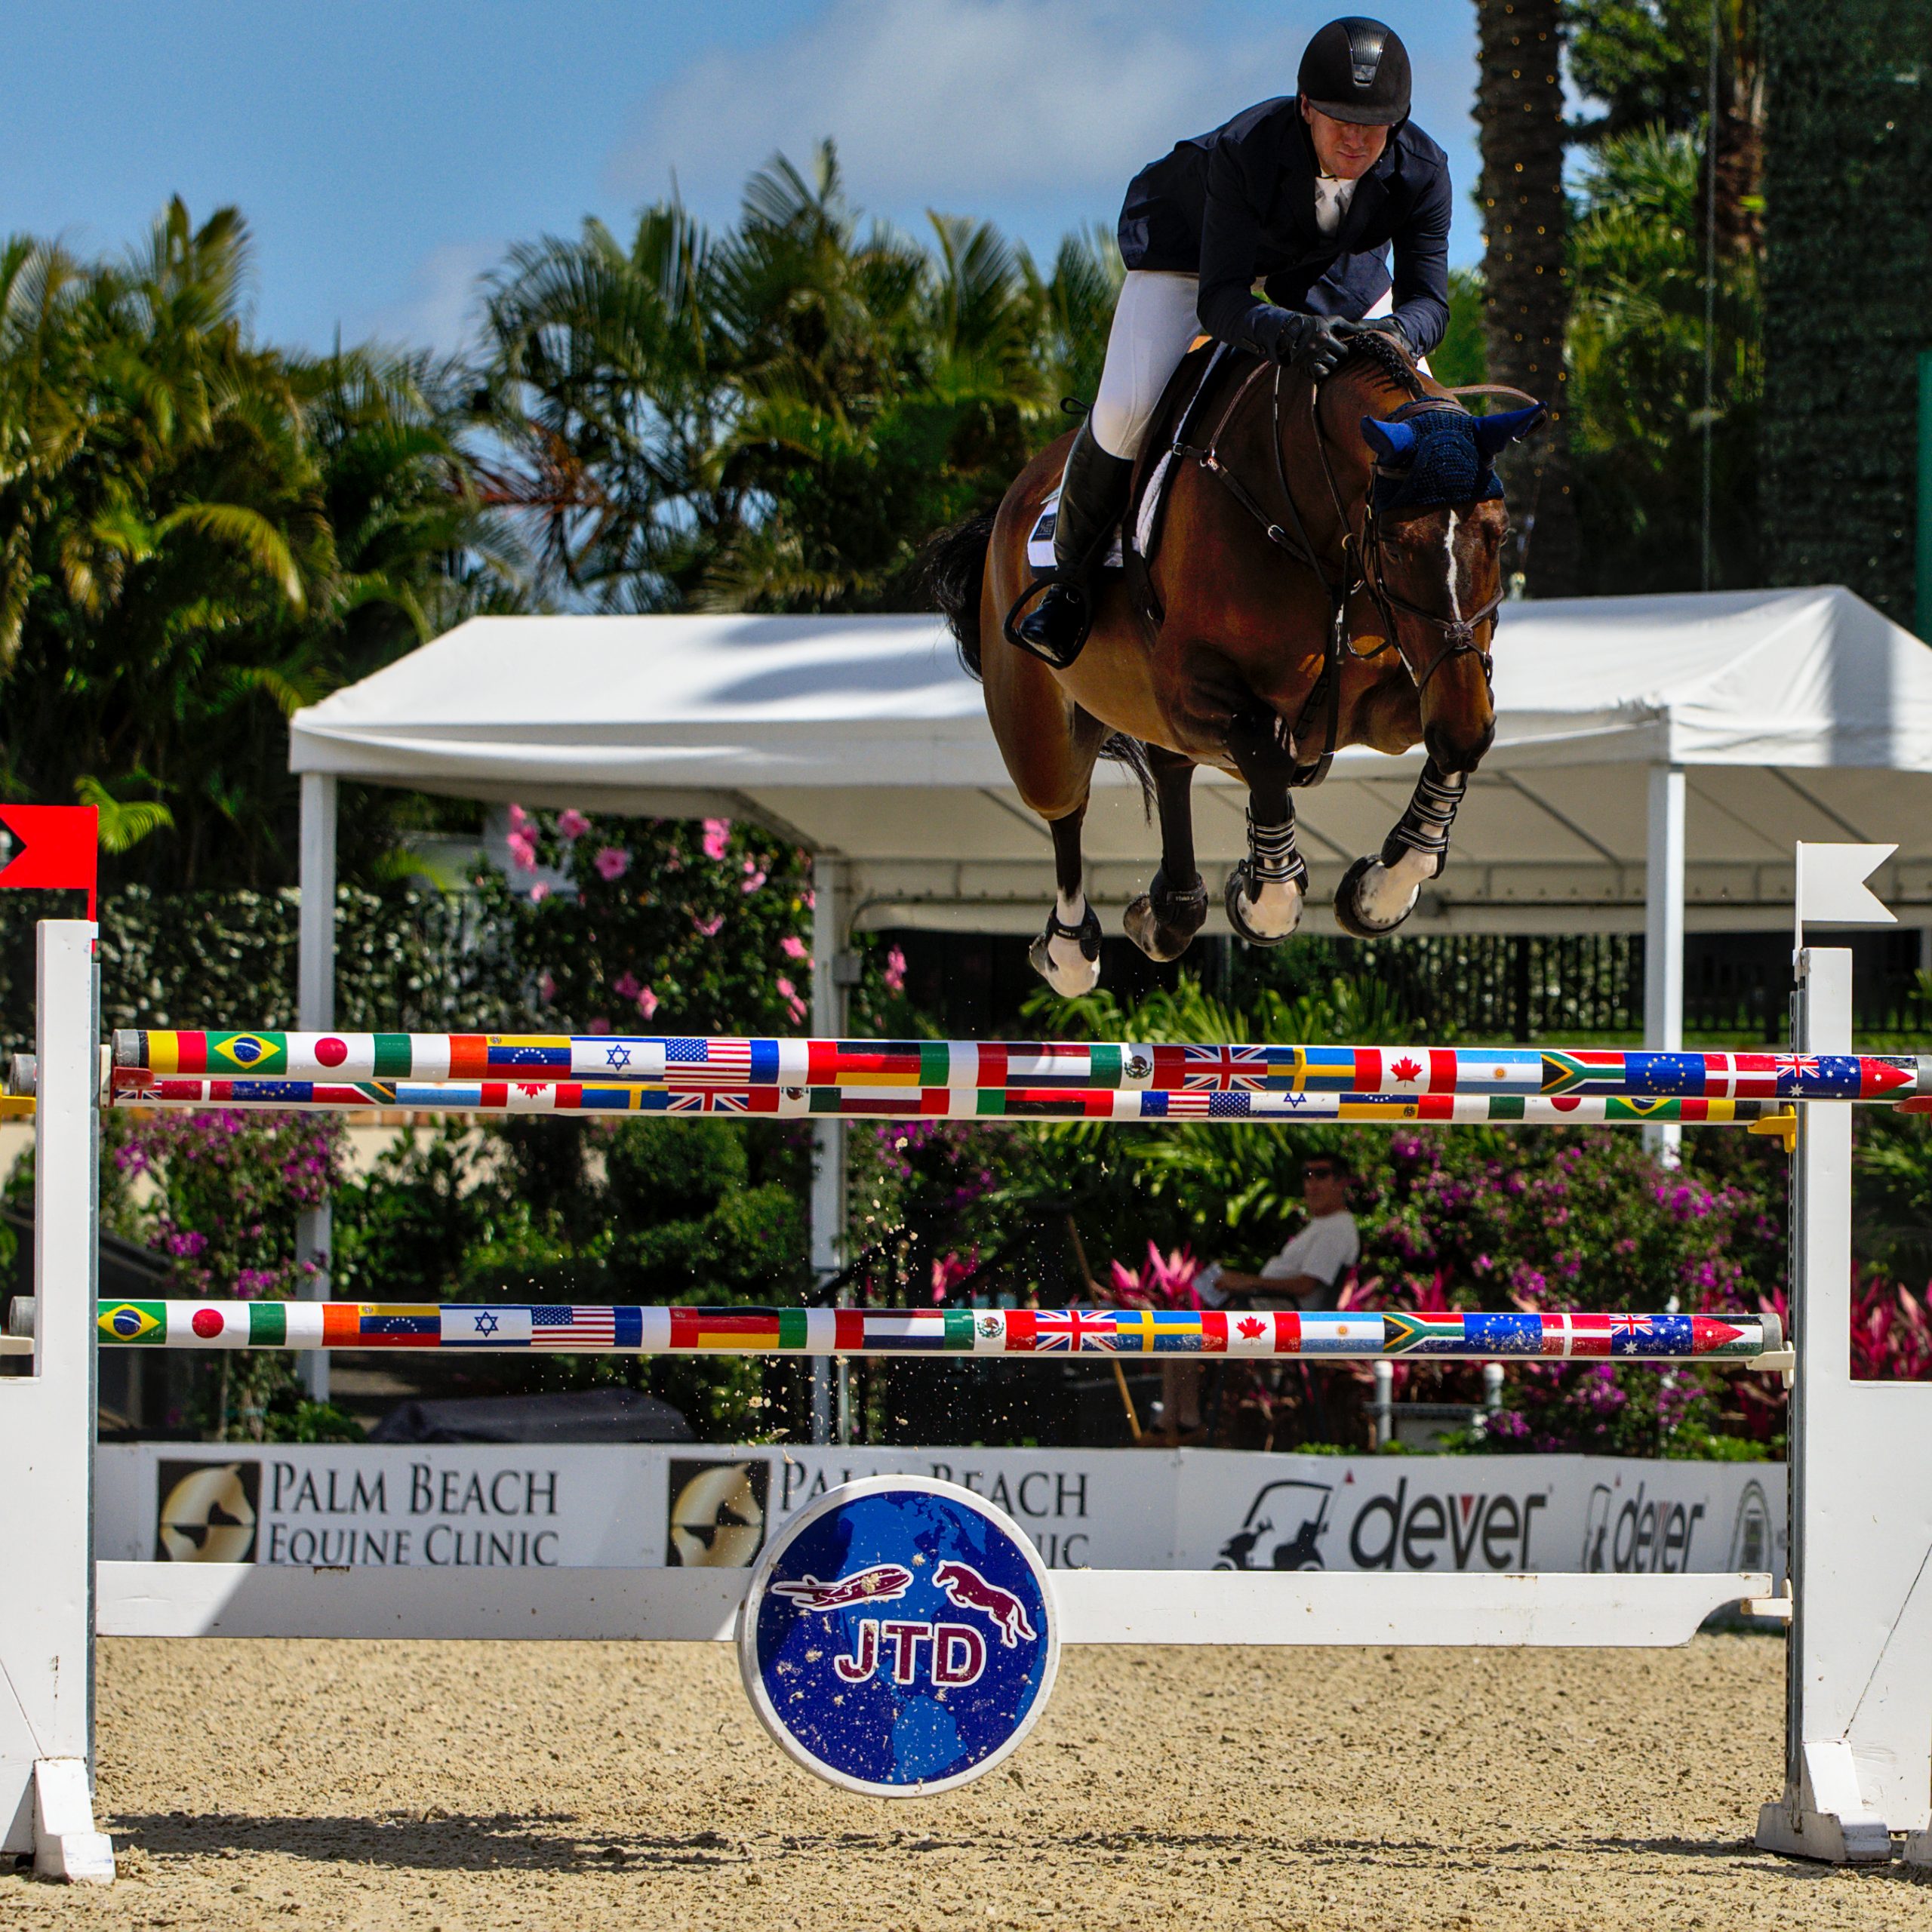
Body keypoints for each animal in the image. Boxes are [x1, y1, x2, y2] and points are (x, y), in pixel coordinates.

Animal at [927, 330, 1546, 989]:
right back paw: (1070, 951)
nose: (1460, 716)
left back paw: (1169, 911)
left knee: (1169, 766)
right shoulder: (1191, 687)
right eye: (1396, 546)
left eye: (1501, 534)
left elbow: (1452, 751)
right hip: (1041, 723)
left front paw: (1379, 894)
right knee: (1065, 807)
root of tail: (1015, 495)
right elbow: (1268, 751)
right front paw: (1266, 901)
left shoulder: (1408, 696)